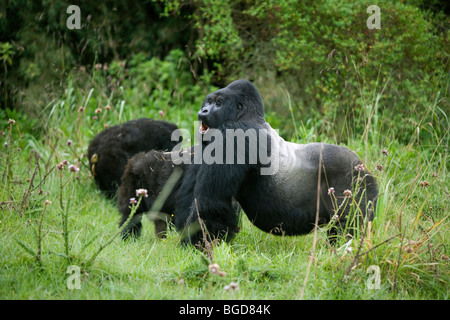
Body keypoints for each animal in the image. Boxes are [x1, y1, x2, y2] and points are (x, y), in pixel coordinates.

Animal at [118, 80, 378, 245]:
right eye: (208, 101)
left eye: (218, 103)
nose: (203, 111)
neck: (247, 115)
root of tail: (364, 166)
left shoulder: (235, 135)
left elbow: (210, 202)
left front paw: (198, 244)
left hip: (355, 182)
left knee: (348, 226)